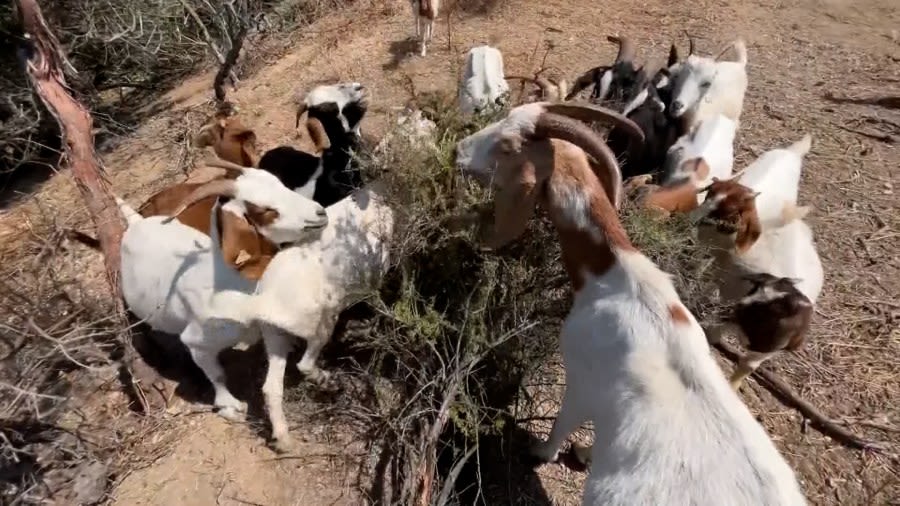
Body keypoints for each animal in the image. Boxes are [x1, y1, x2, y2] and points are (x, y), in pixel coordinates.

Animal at [118, 158, 328, 422]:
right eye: (265, 210)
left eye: (280, 183)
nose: (320, 212)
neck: (232, 285)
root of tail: (136, 222)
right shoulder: (197, 343)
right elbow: (217, 375)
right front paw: (231, 407)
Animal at [458, 101, 808, 504]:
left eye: (507, 146)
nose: (459, 150)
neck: (615, 274)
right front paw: (585, 452)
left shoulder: (581, 382)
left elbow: (563, 423)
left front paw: (541, 451)